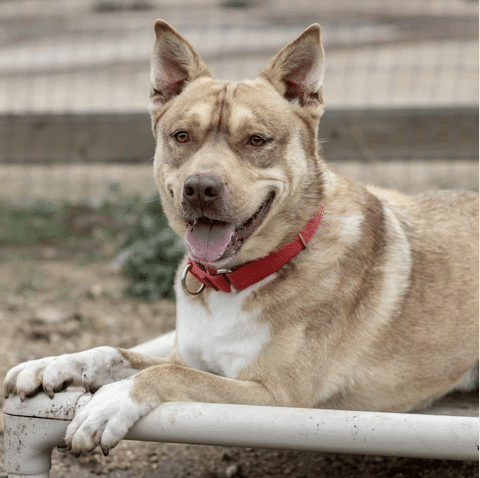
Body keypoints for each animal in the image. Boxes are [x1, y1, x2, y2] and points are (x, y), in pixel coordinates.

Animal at [4, 21, 480, 456]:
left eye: (256, 140)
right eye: (182, 136)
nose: (200, 188)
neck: (233, 280)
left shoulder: (276, 397)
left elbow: (166, 376)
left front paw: (112, 401)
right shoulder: (187, 355)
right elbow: (113, 352)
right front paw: (53, 363)